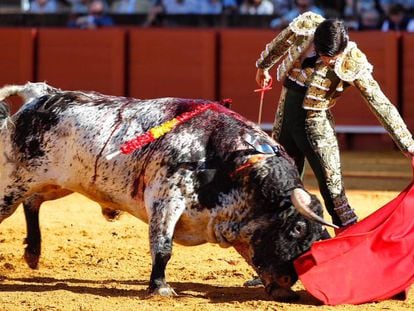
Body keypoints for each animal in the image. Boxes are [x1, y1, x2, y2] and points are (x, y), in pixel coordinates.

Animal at [0, 83, 336, 302]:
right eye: (296, 228)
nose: (288, 281)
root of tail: (40, 94)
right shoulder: (166, 198)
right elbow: (163, 247)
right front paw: (160, 288)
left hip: (58, 183)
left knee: (33, 203)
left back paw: (33, 253)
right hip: (15, 182)